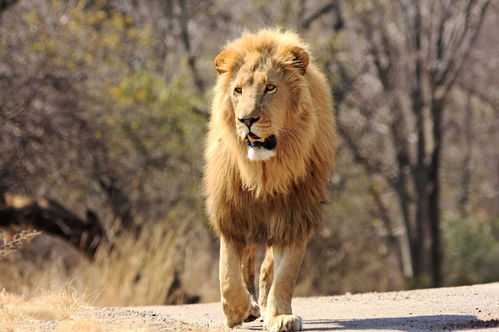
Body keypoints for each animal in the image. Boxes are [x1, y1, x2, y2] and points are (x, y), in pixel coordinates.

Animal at [205, 29, 338, 332]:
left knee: (267, 268)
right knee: (245, 264)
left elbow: (285, 275)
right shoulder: (231, 212)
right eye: (238, 90)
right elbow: (228, 276)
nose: (246, 120)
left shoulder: (295, 214)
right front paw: (238, 311)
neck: (266, 171)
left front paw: (279, 316)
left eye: (270, 88)